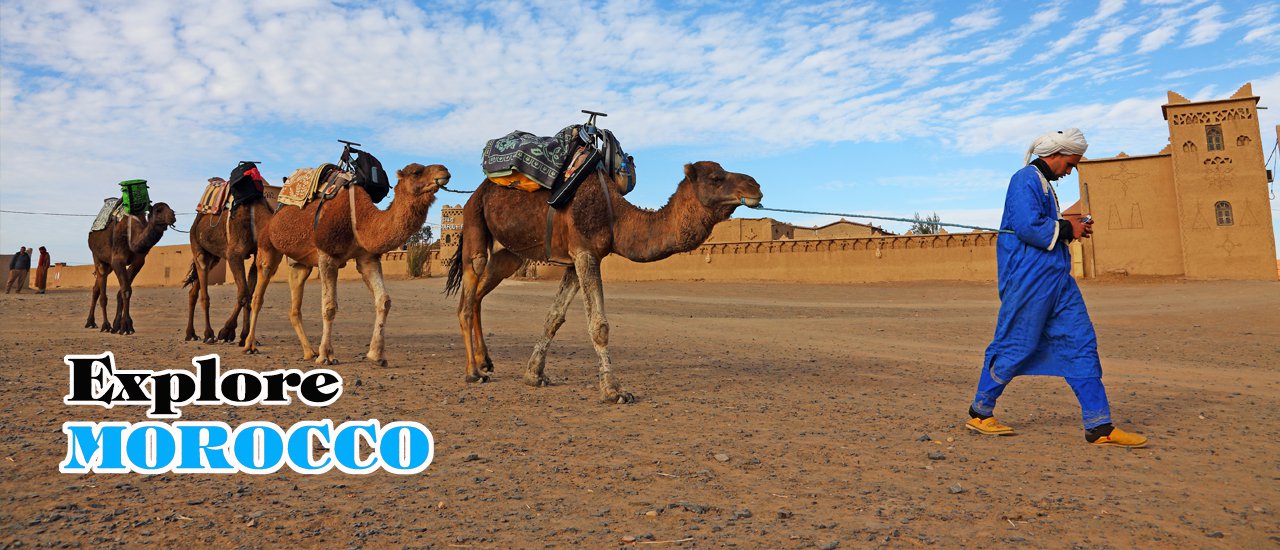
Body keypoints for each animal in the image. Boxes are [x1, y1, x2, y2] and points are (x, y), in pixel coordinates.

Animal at [83, 200, 179, 332]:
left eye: (171, 209)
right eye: (158, 210)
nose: (172, 216)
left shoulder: (138, 262)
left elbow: (123, 291)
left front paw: (118, 325)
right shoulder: (118, 260)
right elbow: (126, 290)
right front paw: (126, 326)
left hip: (108, 265)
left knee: (96, 288)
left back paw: (91, 322)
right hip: (97, 256)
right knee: (102, 292)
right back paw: (105, 325)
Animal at [183, 167, 275, 350]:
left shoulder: (255, 256)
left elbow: (249, 294)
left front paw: (244, 337)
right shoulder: (234, 255)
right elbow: (243, 294)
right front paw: (226, 332)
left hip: (214, 257)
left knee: (193, 291)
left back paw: (191, 333)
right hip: (198, 248)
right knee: (204, 295)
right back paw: (208, 334)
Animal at [249, 163, 450, 365]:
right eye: (416, 172)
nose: (444, 170)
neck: (360, 219)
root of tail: (274, 216)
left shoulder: (367, 258)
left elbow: (384, 301)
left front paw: (377, 354)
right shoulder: (327, 255)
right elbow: (329, 307)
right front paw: (326, 355)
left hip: (300, 263)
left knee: (294, 306)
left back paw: (308, 352)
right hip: (267, 246)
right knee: (258, 294)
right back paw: (250, 346)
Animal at [445, 161, 757, 401]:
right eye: (716, 177)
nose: (755, 185)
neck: (616, 217)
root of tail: (475, 193)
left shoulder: (577, 259)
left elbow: (554, 317)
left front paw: (533, 375)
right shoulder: (585, 252)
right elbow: (599, 326)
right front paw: (613, 390)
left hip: (509, 254)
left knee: (478, 295)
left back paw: (485, 362)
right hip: (474, 221)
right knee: (469, 292)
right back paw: (473, 372)